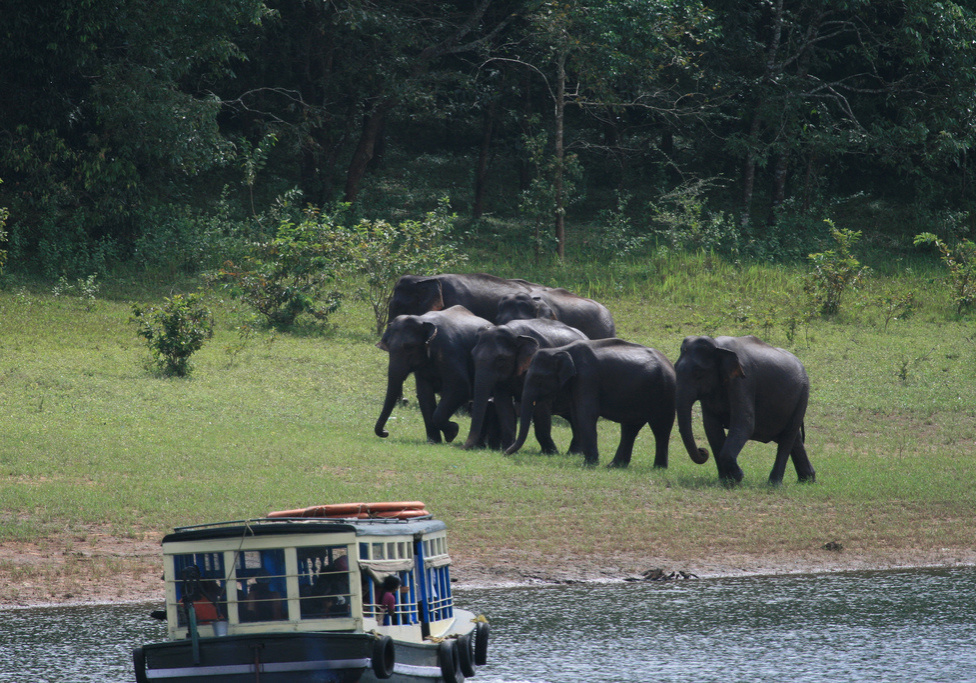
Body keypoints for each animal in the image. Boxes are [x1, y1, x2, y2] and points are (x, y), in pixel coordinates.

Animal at [378, 304, 492, 444]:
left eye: (409, 347)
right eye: (387, 346)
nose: (385, 432)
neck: (422, 320)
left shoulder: (449, 351)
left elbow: (461, 387)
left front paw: (452, 432)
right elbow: (424, 394)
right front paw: (434, 441)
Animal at [460, 320, 588, 454]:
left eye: (501, 359)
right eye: (473, 356)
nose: (462, 447)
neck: (514, 333)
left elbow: (540, 407)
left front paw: (551, 453)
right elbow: (503, 404)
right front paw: (506, 448)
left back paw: (574, 453)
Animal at [504, 338, 672, 470]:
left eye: (539, 378)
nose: (505, 453)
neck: (561, 349)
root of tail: (669, 363)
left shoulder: (587, 377)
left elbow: (586, 413)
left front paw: (589, 464)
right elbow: (576, 414)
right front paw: (586, 459)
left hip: (665, 392)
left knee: (660, 428)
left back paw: (658, 468)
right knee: (629, 428)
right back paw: (614, 465)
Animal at [672, 334, 816, 484]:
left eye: (698, 372)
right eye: (675, 367)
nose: (703, 451)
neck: (718, 345)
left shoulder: (743, 381)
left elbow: (744, 422)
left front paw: (737, 477)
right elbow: (711, 427)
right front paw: (725, 481)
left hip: (803, 394)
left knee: (788, 435)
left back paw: (774, 484)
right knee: (795, 437)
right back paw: (807, 480)